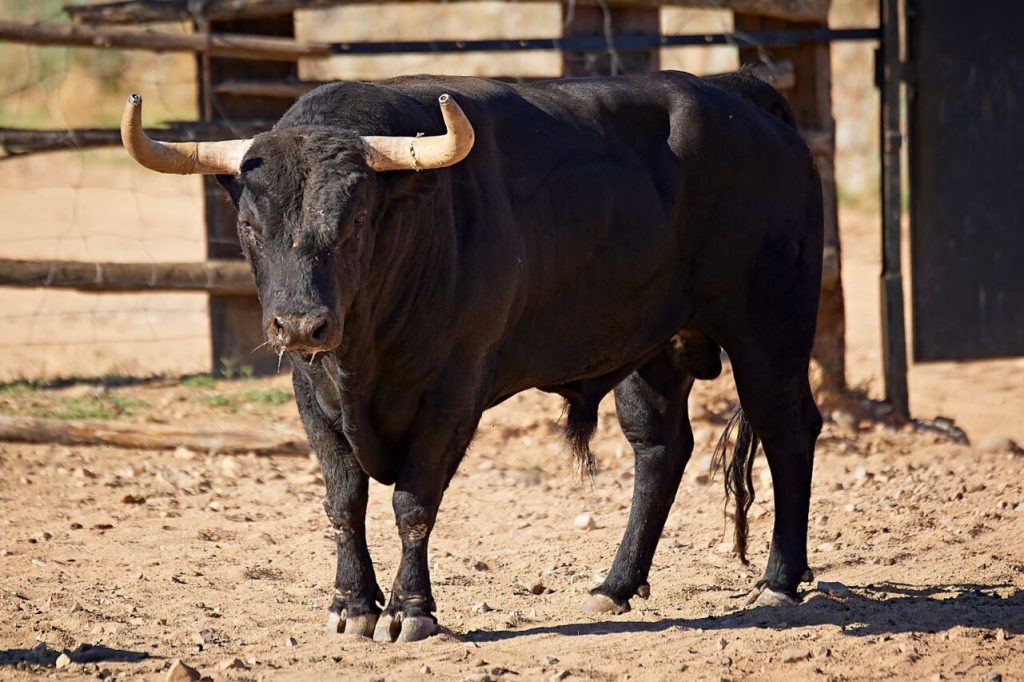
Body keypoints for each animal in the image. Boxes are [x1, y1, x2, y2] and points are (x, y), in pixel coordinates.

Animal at [203, 71, 819, 638]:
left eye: (355, 222)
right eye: (249, 226)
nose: (300, 325)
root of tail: (737, 91)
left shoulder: (452, 395)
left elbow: (413, 503)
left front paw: (410, 611)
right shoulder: (312, 393)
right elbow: (344, 499)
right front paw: (352, 605)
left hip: (771, 330)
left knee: (788, 430)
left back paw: (778, 582)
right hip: (653, 349)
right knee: (661, 447)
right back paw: (615, 586)